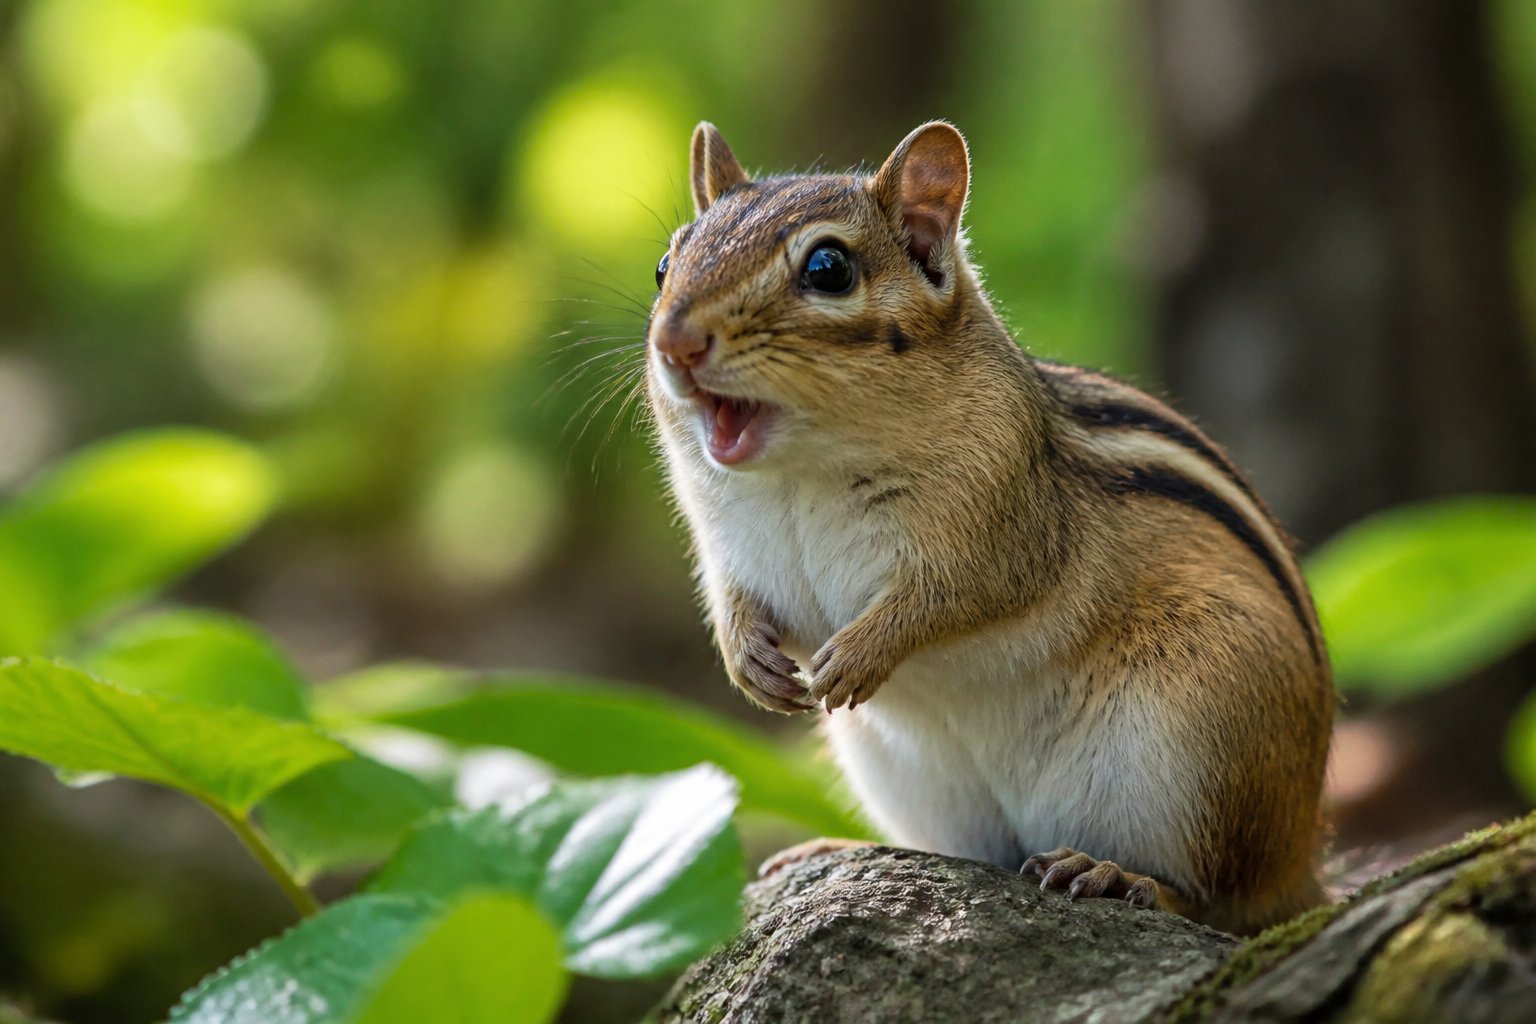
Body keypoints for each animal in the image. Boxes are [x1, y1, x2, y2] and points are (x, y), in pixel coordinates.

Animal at [644, 120, 1334, 935]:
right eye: (665, 265)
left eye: (828, 268)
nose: (675, 342)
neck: (799, 476)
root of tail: (1300, 863)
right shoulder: (726, 547)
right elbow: (730, 600)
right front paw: (748, 661)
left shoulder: (1005, 531)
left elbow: (953, 597)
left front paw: (858, 655)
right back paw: (837, 849)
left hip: (1203, 739)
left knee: (1221, 902)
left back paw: (1114, 875)